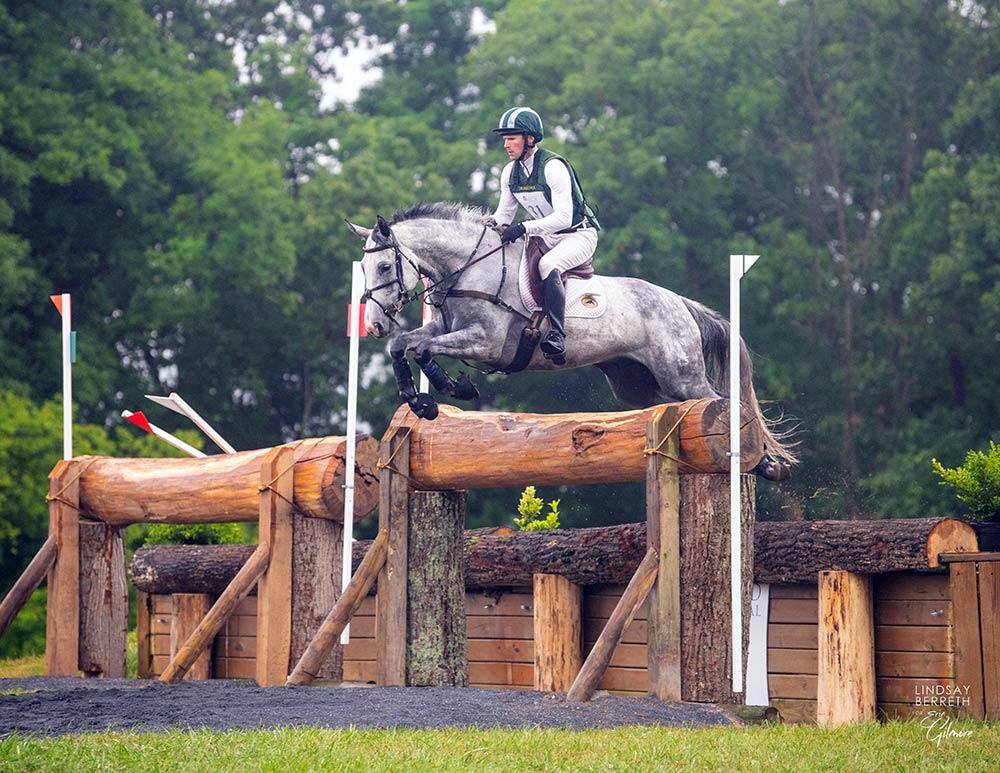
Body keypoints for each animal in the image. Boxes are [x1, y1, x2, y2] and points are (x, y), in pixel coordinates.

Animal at [352, 202, 796, 480]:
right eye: (364, 267)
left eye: (385, 266)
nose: (373, 325)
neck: (468, 271)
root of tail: (680, 303)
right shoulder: (444, 329)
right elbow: (404, 346)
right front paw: (420, 400)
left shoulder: (487, 342)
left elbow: (424, 350)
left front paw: (451, 388)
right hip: (638, 386)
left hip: (681, 376)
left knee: (721, 400)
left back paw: (766, 463)